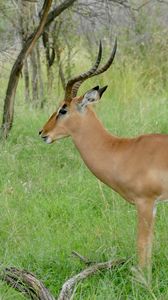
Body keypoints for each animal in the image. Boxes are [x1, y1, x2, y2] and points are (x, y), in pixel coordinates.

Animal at [39, 39, 168, 278]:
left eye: (63, 109)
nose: (43, 132)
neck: (123, 151)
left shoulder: (145, 203)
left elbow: (142, 246)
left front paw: (143, 281)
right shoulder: (152, 205)